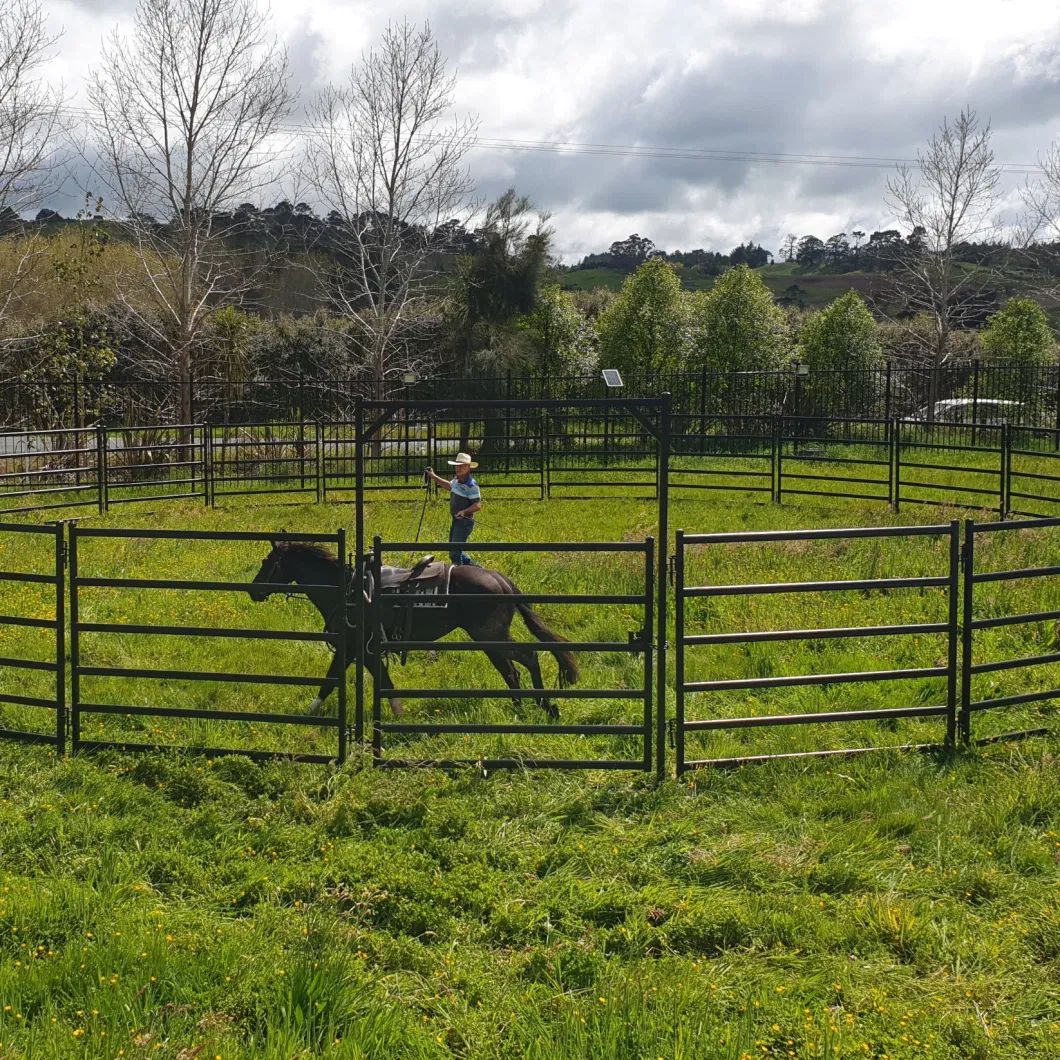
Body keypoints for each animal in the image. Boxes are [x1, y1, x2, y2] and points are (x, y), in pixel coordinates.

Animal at [245, 538, 580, 720]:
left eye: (267, 561)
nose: (253, 591)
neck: (350, 591)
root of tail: (501, 579)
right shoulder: (359, 650)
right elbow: (370, 680)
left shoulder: (355, 647)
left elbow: (341, 680)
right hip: (490, 639)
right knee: (511, 671)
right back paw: (519, 707)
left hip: (491, 636)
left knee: (528, 658)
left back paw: (546, 706)